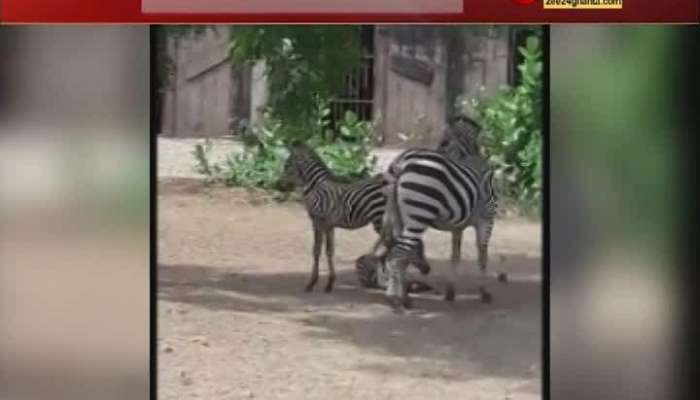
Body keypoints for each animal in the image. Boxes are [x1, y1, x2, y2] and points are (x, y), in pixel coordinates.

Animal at [276, 142, 430, 292]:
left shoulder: (317, 221)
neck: (317, 187)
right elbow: (329, 251)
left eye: (287, 165)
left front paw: (311, 283)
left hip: (380, 221)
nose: (280, 184)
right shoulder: (329, 225)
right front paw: (329, 283)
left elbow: (316, 251)